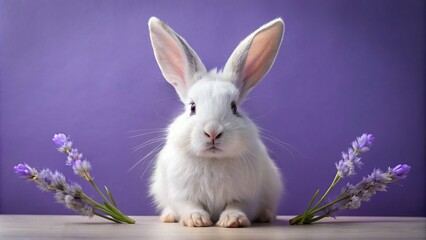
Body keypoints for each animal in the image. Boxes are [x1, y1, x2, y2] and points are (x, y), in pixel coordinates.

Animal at [148, 16, 284, 227]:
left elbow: (236, 205)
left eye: (234, 107)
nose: (212, 132)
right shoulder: (181, 195)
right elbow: (188, 205)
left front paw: (233, 220)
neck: (213, 160)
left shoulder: (247, 196)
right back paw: (168, 216)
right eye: (192, 107)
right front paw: (197, 220)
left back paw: (265, 216)